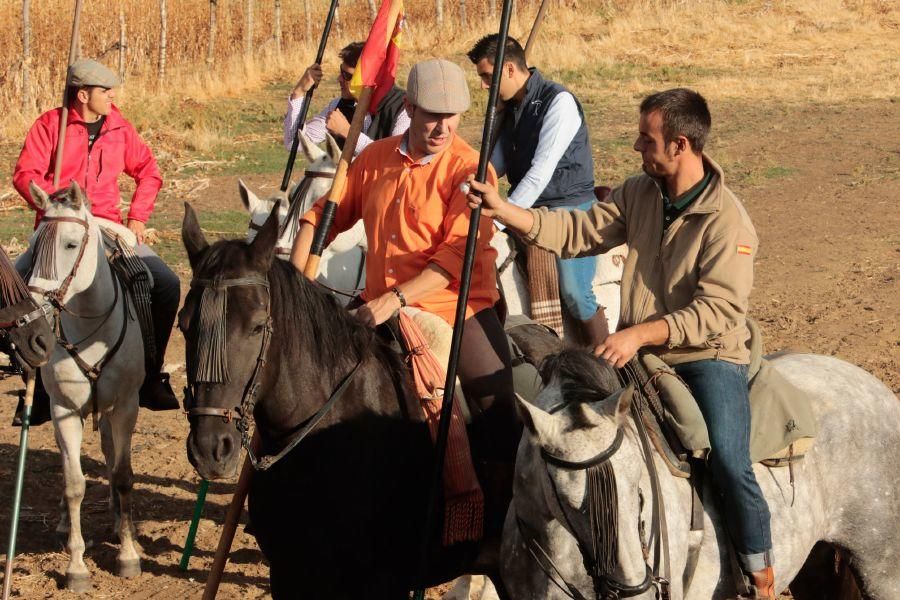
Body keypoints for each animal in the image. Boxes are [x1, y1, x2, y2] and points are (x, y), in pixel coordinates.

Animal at [26, 182, 145, 592]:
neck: (94, 327)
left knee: (111, 455)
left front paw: (128, 553)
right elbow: (74, 483)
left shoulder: (125, 406)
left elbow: (123, 475)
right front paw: (76, 565)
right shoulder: (65, 411)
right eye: (35, 244)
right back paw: (66, 522)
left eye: (71, 244)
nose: (36, 315)